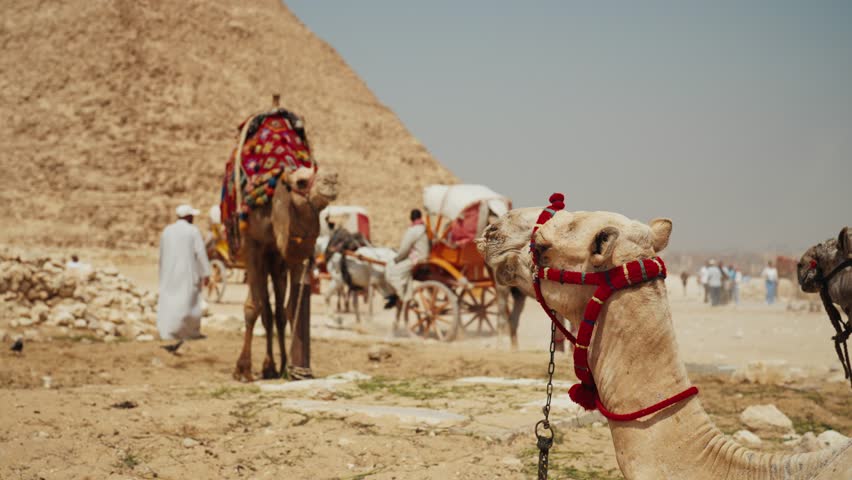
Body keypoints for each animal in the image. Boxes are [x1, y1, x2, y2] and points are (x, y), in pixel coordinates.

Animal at [233, 167, 338, 382]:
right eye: (301, 182)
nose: (331, 180)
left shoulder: (293, 252)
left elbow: (291, 308)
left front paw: (294, 369)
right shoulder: (253, 245)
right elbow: (252, 307)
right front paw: (243, 370)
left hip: (275, 263)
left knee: (276, 312)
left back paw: (276, 367)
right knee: (266, 310)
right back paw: (268, 367)